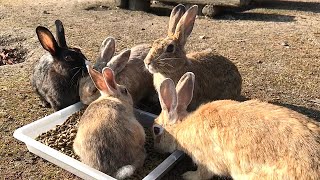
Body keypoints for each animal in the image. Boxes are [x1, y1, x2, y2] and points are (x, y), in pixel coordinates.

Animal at [153, 72, 320, 180]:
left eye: (155, 130)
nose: (157, 150)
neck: (183, 125)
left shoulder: (206, 161)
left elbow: (202, 174)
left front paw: (188, 175)